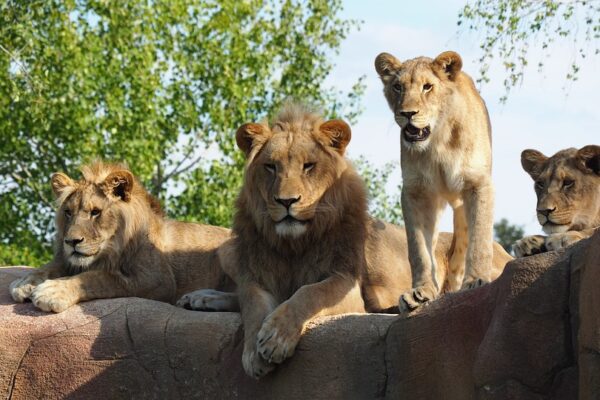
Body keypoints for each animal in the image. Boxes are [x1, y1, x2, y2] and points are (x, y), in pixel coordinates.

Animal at [9, 161, 236, 313]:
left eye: (95, 212)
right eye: (68, 213)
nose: (72, 242)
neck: (110, 250)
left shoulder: (158, 280)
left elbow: (100, 278)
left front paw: (52, 291)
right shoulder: (70, 260)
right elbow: (48, 267)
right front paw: (24, 283)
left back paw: (202, 298)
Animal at [176, 103, 511, 379]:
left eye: (308, 166)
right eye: (270, 167)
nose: (286, 201)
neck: (293, 245)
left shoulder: (348, 286)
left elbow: (309, 293)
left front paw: (276, 338)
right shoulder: (258, 275)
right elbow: (254, 305)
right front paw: (254, 353)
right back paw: (201, 298)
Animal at [374, 51, 495, 312]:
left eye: (427, 87)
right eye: (398, 87)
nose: (407, 114)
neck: (438, 142)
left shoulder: (478, 183)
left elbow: (480, 237)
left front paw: (477, 280)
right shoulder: (416, 192)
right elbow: (419, 250)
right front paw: (420, 292)